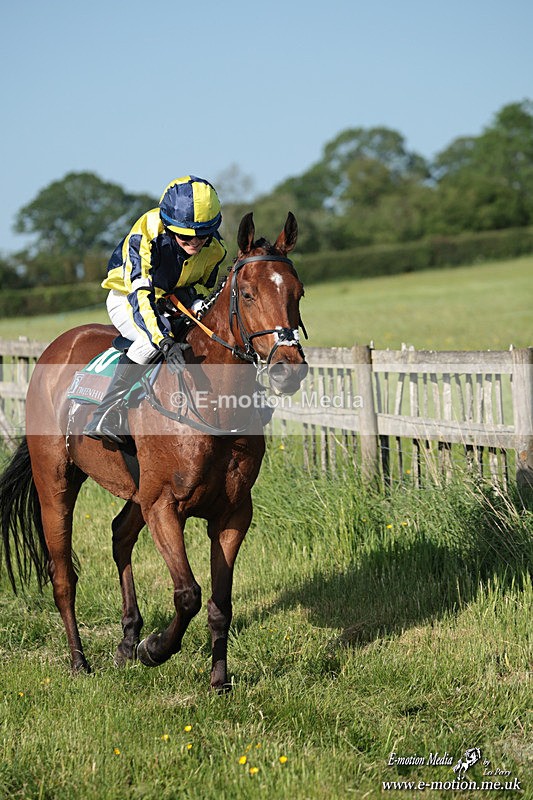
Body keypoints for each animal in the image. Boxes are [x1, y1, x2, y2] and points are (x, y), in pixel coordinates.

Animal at [0, 212, 308, 690]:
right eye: (248, 293)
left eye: (297, 292)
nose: (287, 371)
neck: (211, 405)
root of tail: (55, 347)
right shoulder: (164, 505)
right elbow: (188, 594)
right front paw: (156, 649)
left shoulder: (233, 512)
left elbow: (220, 604)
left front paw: (219, 680)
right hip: (56, 480)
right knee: (63, 575)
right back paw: (80, 661)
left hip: (135, 489)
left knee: (119, 535)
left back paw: (127, 639)